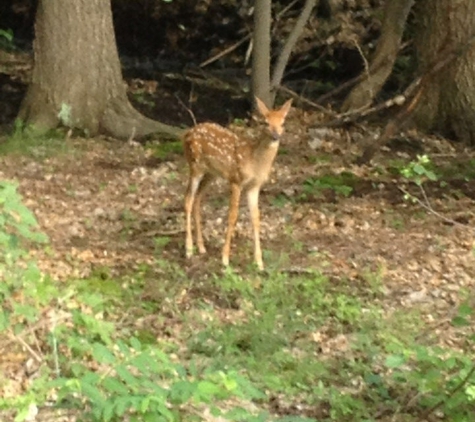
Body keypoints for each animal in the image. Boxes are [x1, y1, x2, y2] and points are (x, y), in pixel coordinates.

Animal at [183, 97, 292, 270]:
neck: (255, 162)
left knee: (197, 199)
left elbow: (256, 217)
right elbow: (232, 215)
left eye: (283, 122)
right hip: (195, 166)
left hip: (211, 173)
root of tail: (187, 133)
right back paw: (188, 249)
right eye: (265, 122)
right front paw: (225, 258)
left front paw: (259, 262)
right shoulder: (236, 180)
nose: (276, 136)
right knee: (188, 199)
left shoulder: (254, 186)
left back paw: (201, 247)